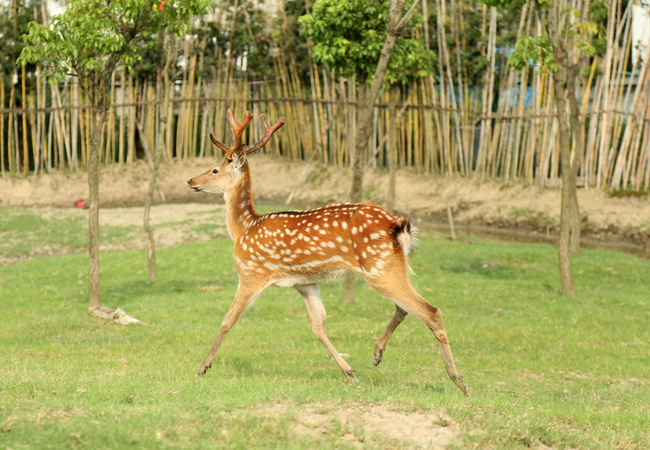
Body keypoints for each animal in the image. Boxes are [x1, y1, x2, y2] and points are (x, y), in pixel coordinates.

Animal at [185, 110, 468, 396]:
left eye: (215, 169)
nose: (190, 180)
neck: (244, 228)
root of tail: (398, 224)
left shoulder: (251, 273)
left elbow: (227, 320)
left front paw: (202, 368)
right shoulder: (304, 282)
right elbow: (318, 325)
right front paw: (350, 373)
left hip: (378, 266)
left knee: (430, 311)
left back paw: (459, 380)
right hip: (392, 265)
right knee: (404, 308)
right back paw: (377, 353)